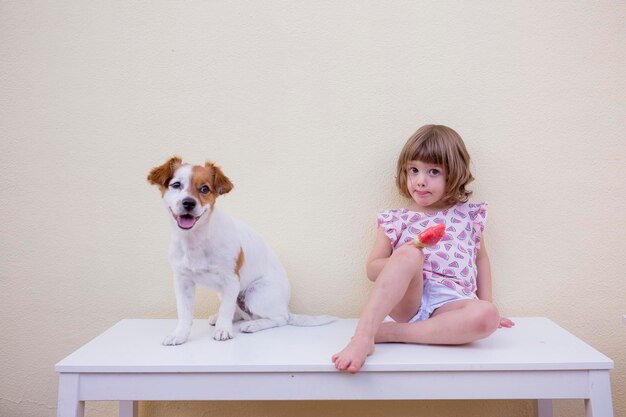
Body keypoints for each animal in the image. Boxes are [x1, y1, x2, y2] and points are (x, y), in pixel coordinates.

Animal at [147, 156, 334, 344]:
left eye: (204, 189)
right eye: (176, 185)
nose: (188, 203)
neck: (196, 239)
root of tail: (286, 307)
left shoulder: (231, 280)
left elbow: (226, 311)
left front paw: (223, 330)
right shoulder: (182, 281)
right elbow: (185, 314)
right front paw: (180, 334)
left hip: (256, 294)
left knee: (279, 319)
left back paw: (253, 325)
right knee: (240, 312)